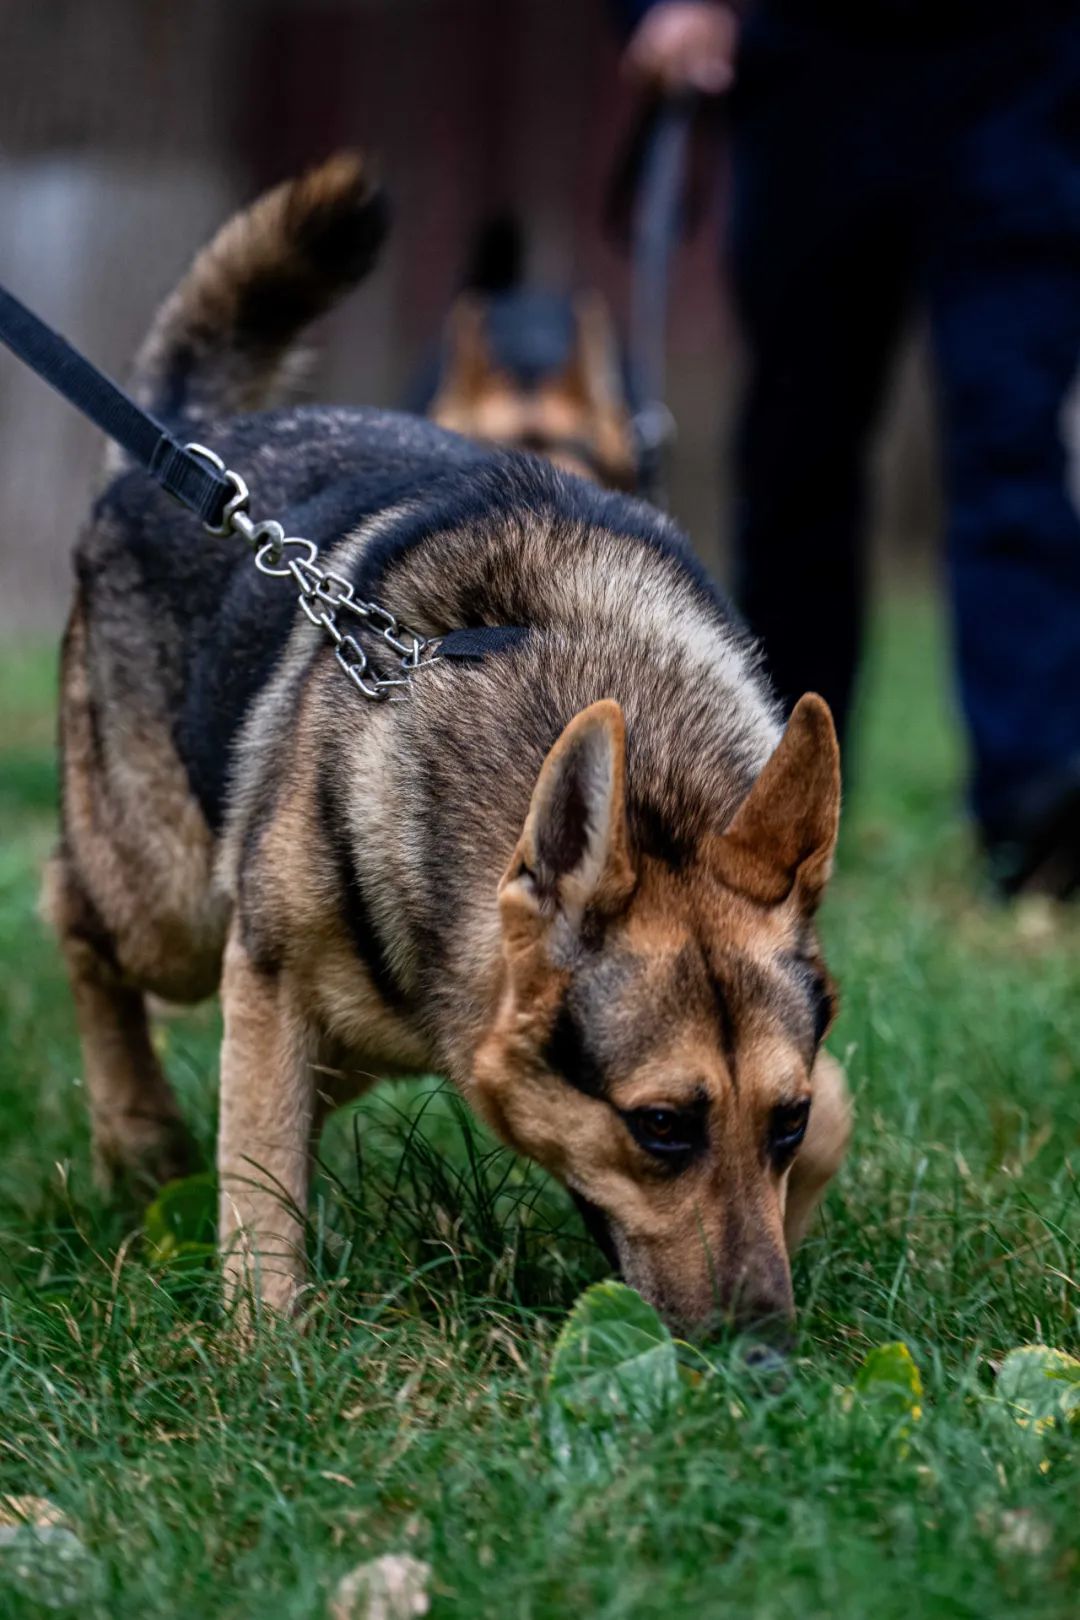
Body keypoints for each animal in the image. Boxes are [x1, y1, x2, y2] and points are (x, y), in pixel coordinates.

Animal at [44, 152, 854, 1334]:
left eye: (780, 1123)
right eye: (662, 1126)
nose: (762, 1361)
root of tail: (190, 439)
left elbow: (838, 1118)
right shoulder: (266, 977)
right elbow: (260, 1184)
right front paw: (264, 1344)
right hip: (174, 910)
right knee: (76, 913)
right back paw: (138, 1130)